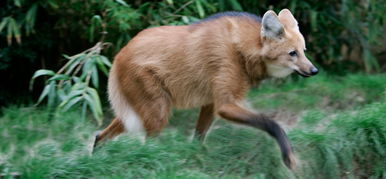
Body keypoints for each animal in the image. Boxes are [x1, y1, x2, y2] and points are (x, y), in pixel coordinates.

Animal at [92, 8, 316, 169]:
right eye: (292, 53)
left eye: (304, 51)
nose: (314, 70)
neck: (242, 49)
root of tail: (120, 54)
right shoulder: (225, 104)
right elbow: (272, 123)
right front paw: (290, 158)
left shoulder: (210, 103)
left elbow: (198, 138)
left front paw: (196, 161)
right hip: (158, 110)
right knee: (148, 144)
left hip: (139, 109)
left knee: (100, 136)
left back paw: (95, 160)